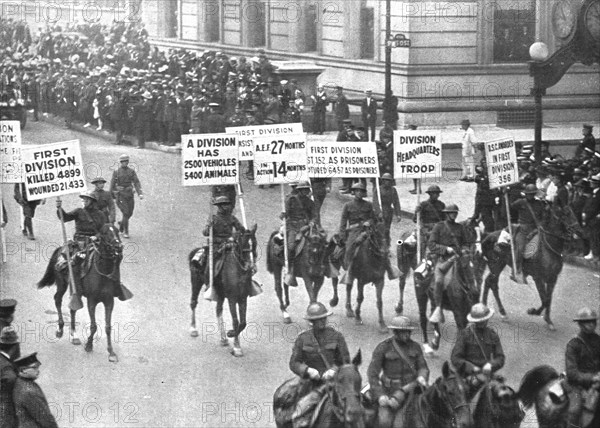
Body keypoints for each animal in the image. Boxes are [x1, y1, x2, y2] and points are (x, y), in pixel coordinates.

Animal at [37, 224, 124, 362]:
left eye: (117, 231)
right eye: (105, 233)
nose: (118, 246)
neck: (102, 274)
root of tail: (61, 248)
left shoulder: (109, 301)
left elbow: (108, 327)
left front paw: (111, 352)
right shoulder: (91, 301)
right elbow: (93, 326)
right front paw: (89, 345)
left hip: (74, 289)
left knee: (72, 308)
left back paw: (74, 335)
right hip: (62, 284)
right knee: (58, 300)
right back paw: (60, 329)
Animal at [189, 226, 256, 356]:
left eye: (254, 244)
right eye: (244, 244)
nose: (251, 267)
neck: (237, 271)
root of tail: (196, 251)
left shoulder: (242, 298)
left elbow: (243, 322)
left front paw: (232, 337)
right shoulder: (232, 299)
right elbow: (236, 321)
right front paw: (236, 347)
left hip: (220, 293)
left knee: (218, 310)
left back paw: (223, 338)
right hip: (196, 281)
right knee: (193, 302)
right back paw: (193, 329)